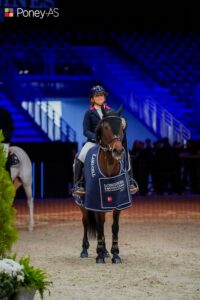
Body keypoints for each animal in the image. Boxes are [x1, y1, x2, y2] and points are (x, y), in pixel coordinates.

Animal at [74, 104, 134, 264]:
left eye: (122, 127)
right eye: (105, 127)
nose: (118, 150)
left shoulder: (118, 202)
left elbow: (114, 227)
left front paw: (115, 254)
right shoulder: (95, 202)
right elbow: (99, 227)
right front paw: (99, 255)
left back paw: (106, 251)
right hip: (82, 203)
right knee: (86, 222)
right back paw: (85, 250)